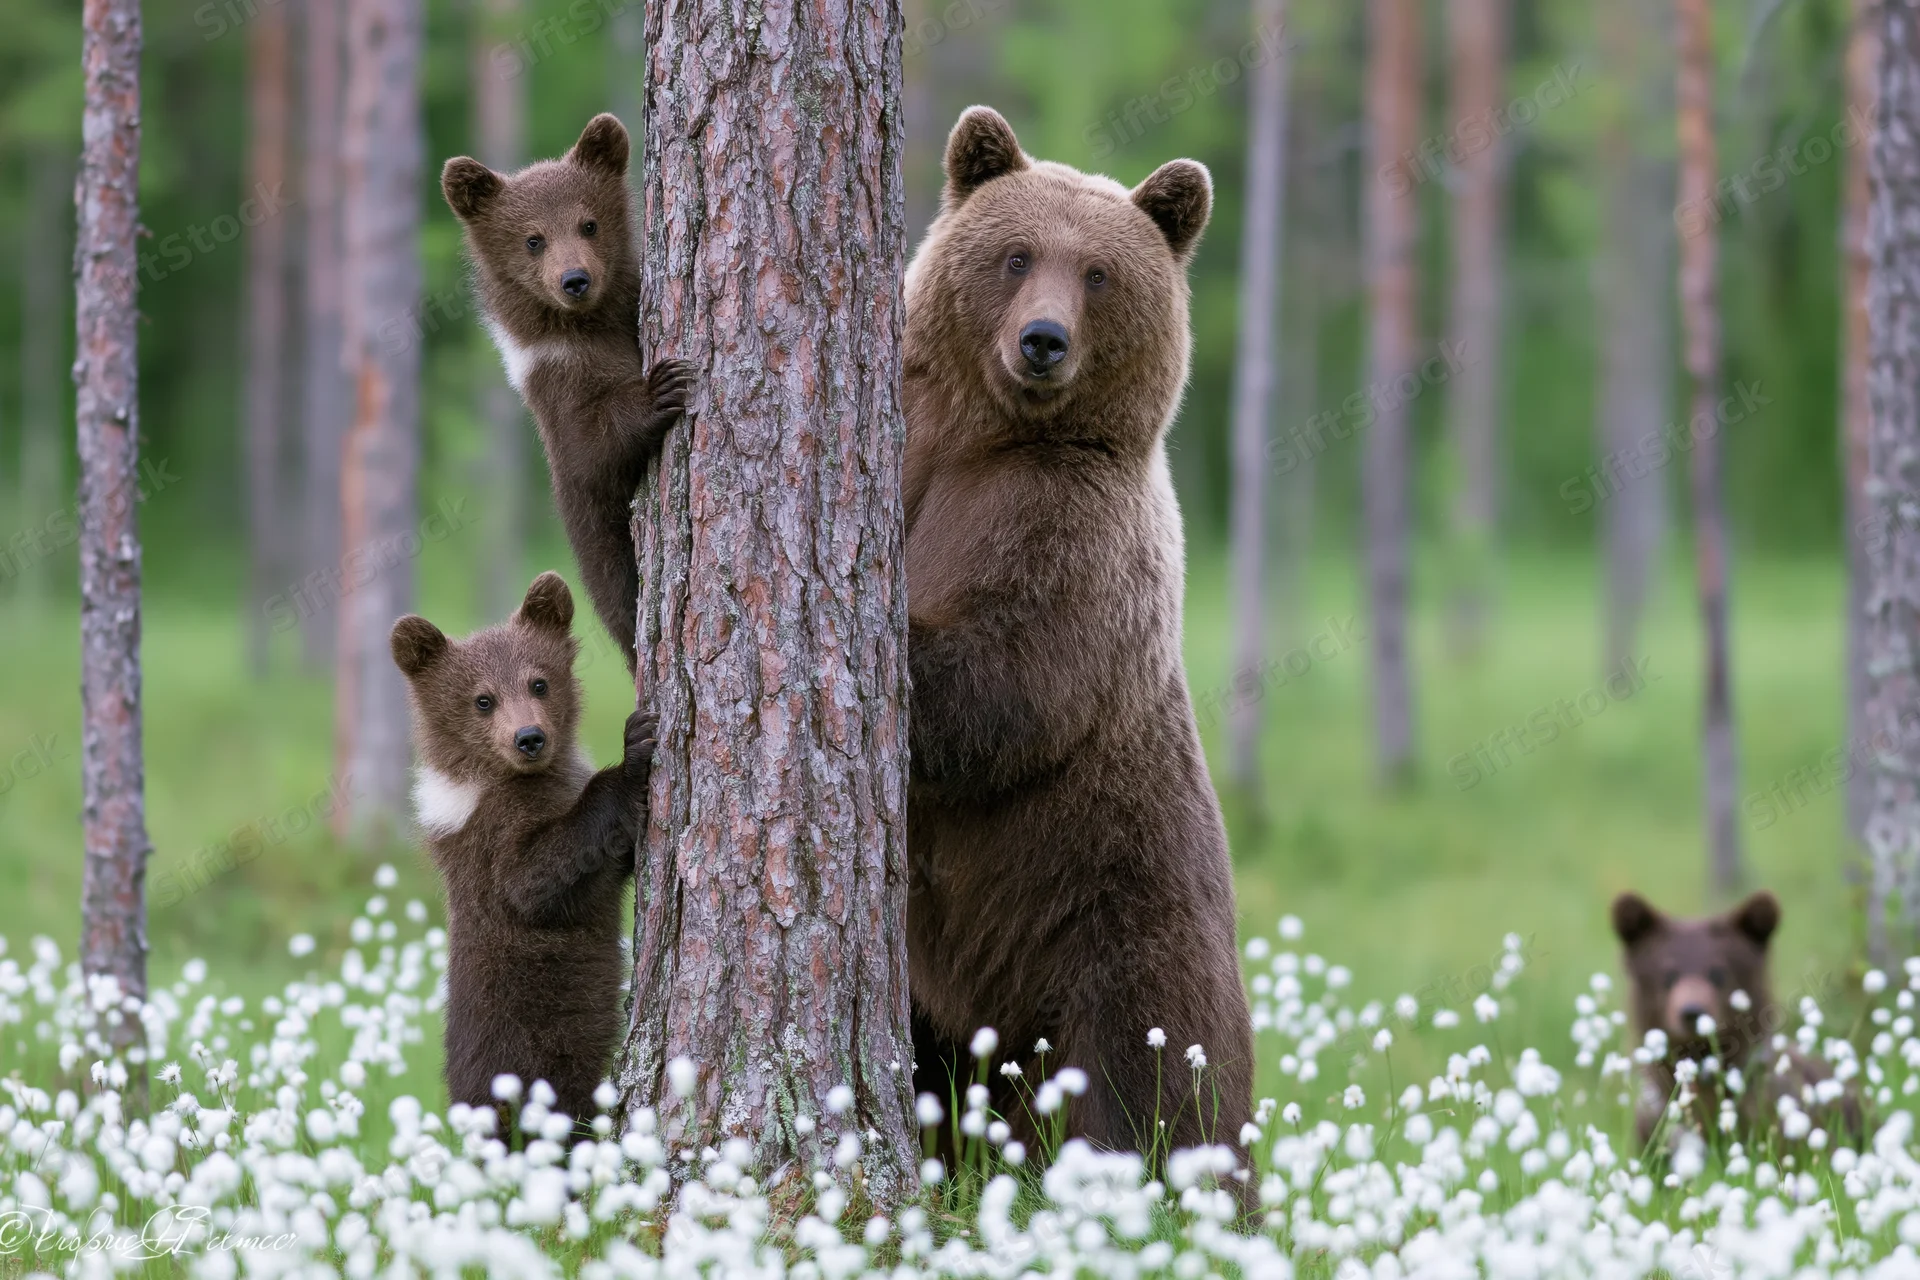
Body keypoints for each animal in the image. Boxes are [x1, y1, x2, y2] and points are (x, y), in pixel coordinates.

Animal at [391, 571, 655, 1123]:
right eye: (482, 699)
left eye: (539, 681)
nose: (529, 737)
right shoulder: (490, 844)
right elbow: (536, 878)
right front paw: (633, 752)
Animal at [441, 114, 693, 672]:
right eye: (533, 239)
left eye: (589, 223)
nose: (575, 279)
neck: (587, 329)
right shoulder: (558, 390)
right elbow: (591, 446)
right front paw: (662, 386)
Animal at [902, 106, 1254, 1178]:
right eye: (1016, 255)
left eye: (1098, 272)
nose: (1043, 340)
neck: (982, 437)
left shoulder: (1070, 537)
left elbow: (1000, 687)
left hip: (1115, 921)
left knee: (1151, 1091)